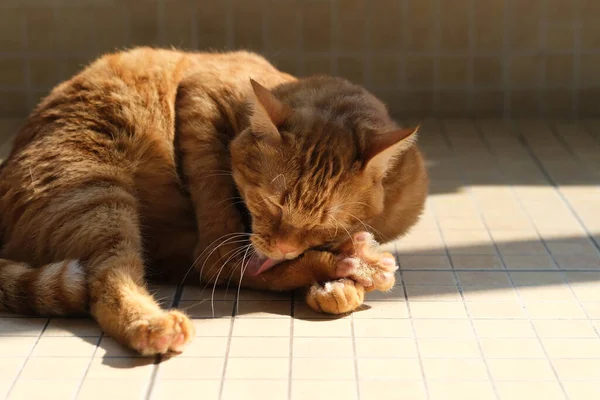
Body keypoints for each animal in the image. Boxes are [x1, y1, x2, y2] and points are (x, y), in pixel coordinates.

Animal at [0, 47, 428, 356]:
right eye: (269, 203)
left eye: (321, 224)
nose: (282, 247)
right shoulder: (200, 94)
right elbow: (216, 212)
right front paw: (340, 273)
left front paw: (339, 283)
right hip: (97, 196)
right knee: (117, 283)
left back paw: (352, 266)